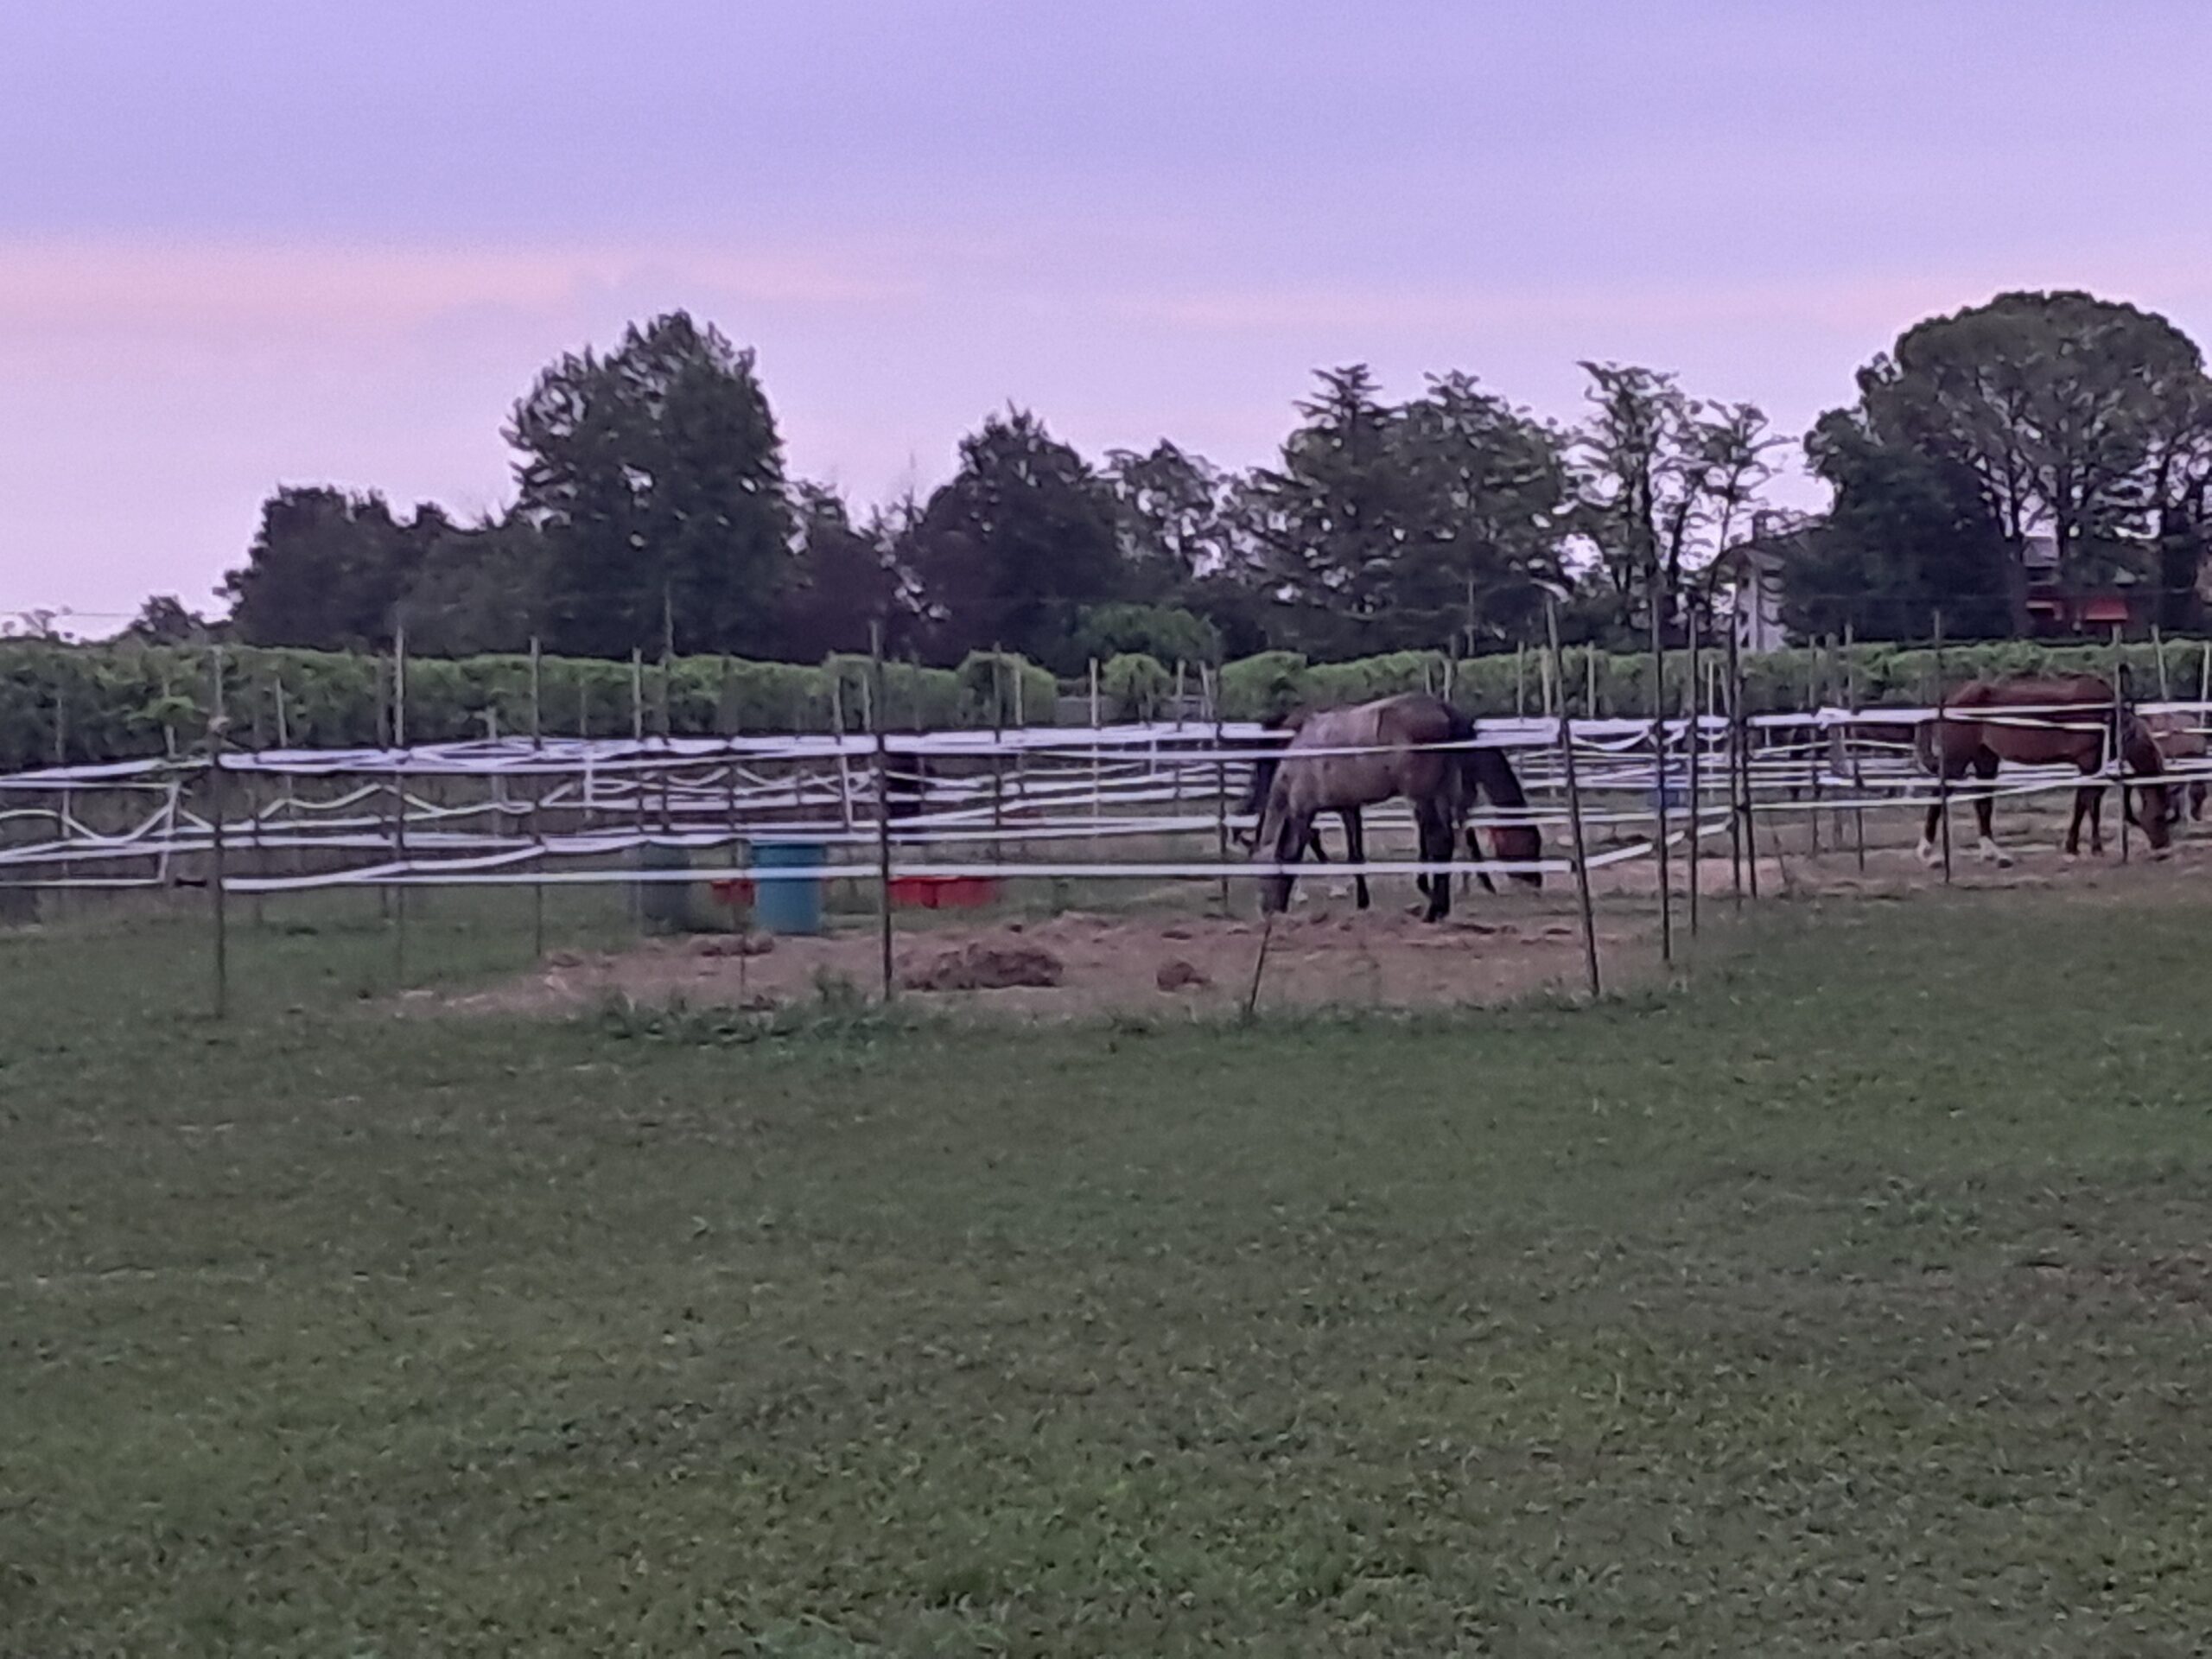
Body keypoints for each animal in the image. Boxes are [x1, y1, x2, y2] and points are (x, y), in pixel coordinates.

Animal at [1252, 694, 1539, 921]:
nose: (1267, 909)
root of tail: (1443, 709)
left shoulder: (1303, 811)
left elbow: (1293, 854)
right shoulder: (1348, 806)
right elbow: (1355, 855)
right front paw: (1362, 903)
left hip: (1426, 795)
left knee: (1440, 842)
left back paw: (1434, 911)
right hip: (1438, 794)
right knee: (1445, 841)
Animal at [1915, 675, 2175, 866]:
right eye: (2159, 816)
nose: (2164, 849)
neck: (2108, 715)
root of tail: (1950, 696)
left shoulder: (2094, 767)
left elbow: (2091, 805)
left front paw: (2091, 848)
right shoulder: (2088, 763)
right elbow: (2085, 803)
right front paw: (2076, 848)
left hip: (1985, 759)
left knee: (1983, 803)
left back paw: (1994, 853)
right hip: (1956, 760)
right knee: (1938, 796)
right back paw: (1927, 851)